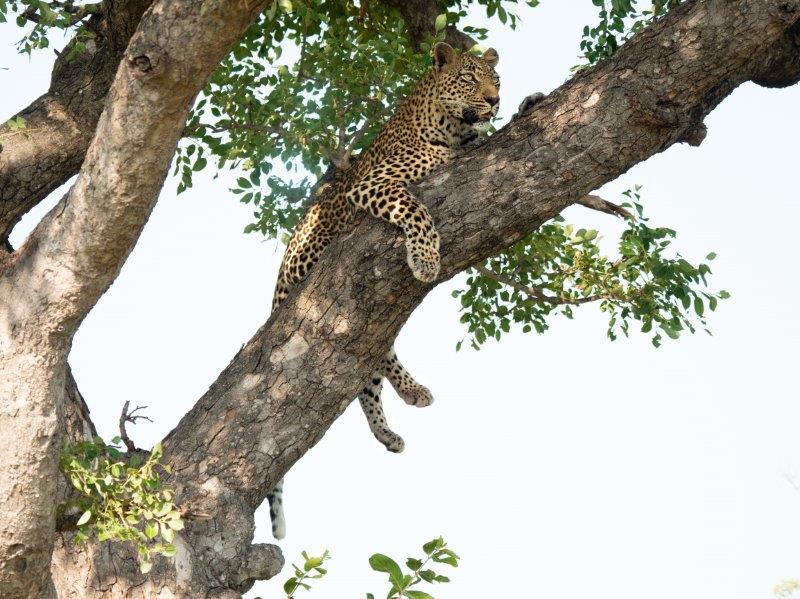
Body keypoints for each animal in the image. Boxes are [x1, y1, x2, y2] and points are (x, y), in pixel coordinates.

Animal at [266, 42, 500, 540]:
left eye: (497, 80)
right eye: (470, 78)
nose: (494, 101)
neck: (448, 126)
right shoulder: (373, 183)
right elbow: (416, 208)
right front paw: (426, 258)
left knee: (369, 374)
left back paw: (399, 414)